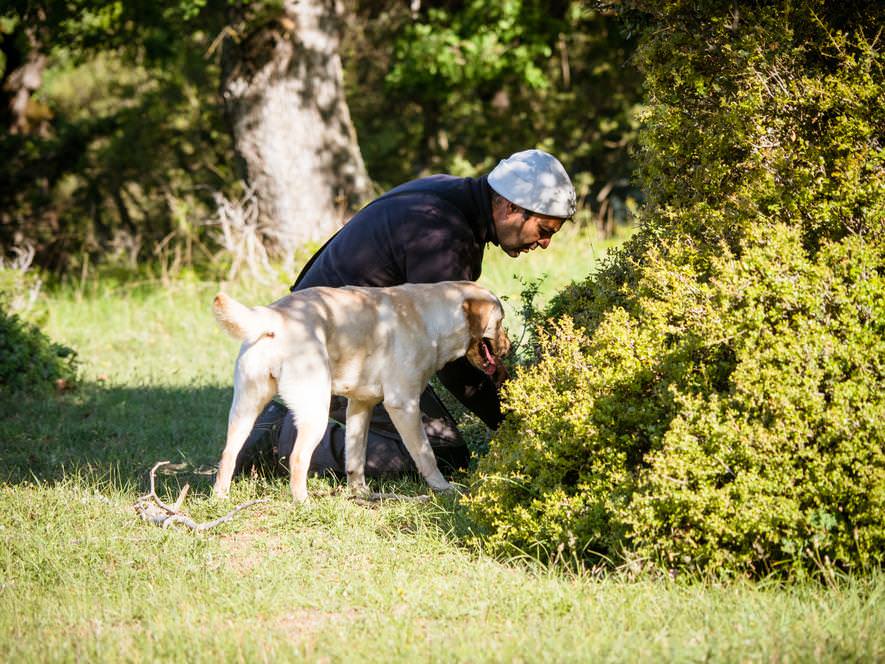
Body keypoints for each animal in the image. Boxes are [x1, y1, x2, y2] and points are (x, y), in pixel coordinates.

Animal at [210, 278, 508, 500]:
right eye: (500, 321)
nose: (508, 348)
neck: (430, 318)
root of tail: (273, 317)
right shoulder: (404, 404)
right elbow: (426, 454)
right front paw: (442, 488)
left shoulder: (360, 406)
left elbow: (355, 456)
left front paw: (360, 493)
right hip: (315, 411)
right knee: (297, 458)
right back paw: (303, 503)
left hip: (245, 410)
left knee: (228, 454)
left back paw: (221, 498)